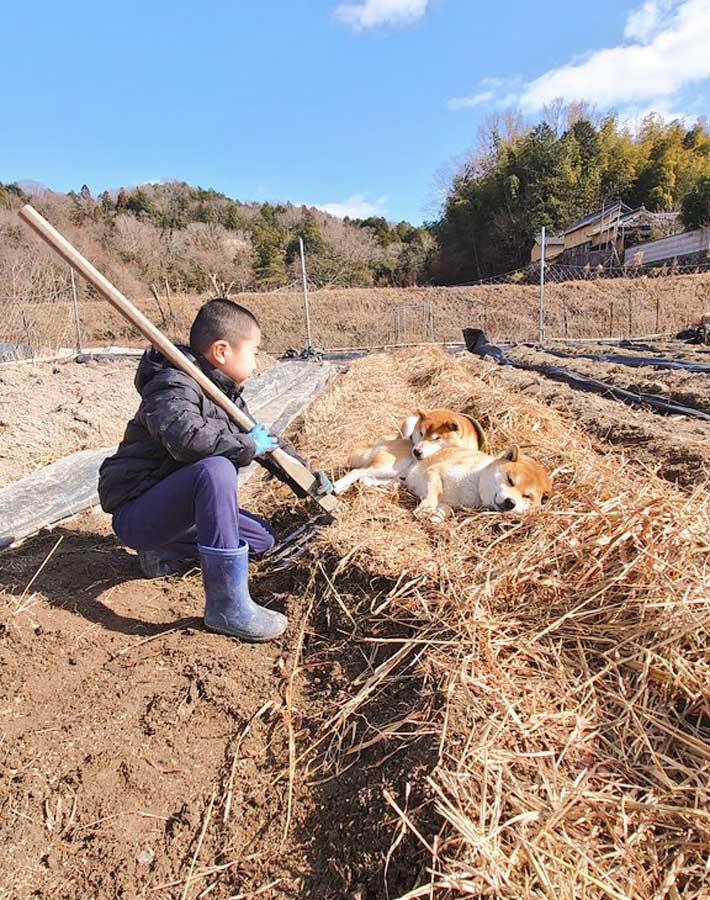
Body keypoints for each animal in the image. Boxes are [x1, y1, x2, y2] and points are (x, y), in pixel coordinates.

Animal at [332, 406, 486, 492]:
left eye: (436, 438)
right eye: (421, 433)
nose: (416, 451)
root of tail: (379, 442)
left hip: (393, 473)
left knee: (365, 479)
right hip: (390, 466)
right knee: (357, 472)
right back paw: (338, 485)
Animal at [406, 446, 556, 524]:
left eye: (527, 496)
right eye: (510, 480)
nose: (511, 502)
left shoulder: (452, 503)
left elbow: (445, 508)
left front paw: (437, 516)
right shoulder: (435, 470)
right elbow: (436, 491)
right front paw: (426, 507)